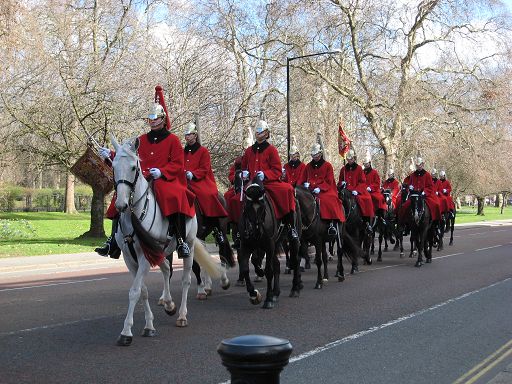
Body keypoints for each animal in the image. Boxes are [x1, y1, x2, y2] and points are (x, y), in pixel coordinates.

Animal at [112, 136, 220, 346]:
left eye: (133, 167)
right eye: (113, 166)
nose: (120, 205)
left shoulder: (144, 256)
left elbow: (135, 291)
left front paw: (126, 332)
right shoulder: (130, 258)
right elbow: (143, 290)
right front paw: (149, 325)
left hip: (189, 245)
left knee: (186, 279)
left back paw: (182, 315)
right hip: (162, 249)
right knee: (166, 269)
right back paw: (169, 303)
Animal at [238, 178, 302, 308]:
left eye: (263, 207)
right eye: (247, 207)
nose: (256, 233)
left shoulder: (269, 244)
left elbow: (268, 271)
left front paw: (268, 299)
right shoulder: (246, 245)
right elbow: (245, 268)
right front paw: (254, 294)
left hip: (291, 239)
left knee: (296, 260)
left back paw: (295, 289)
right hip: (276, 243)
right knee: (277, 264)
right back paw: (276, 293)